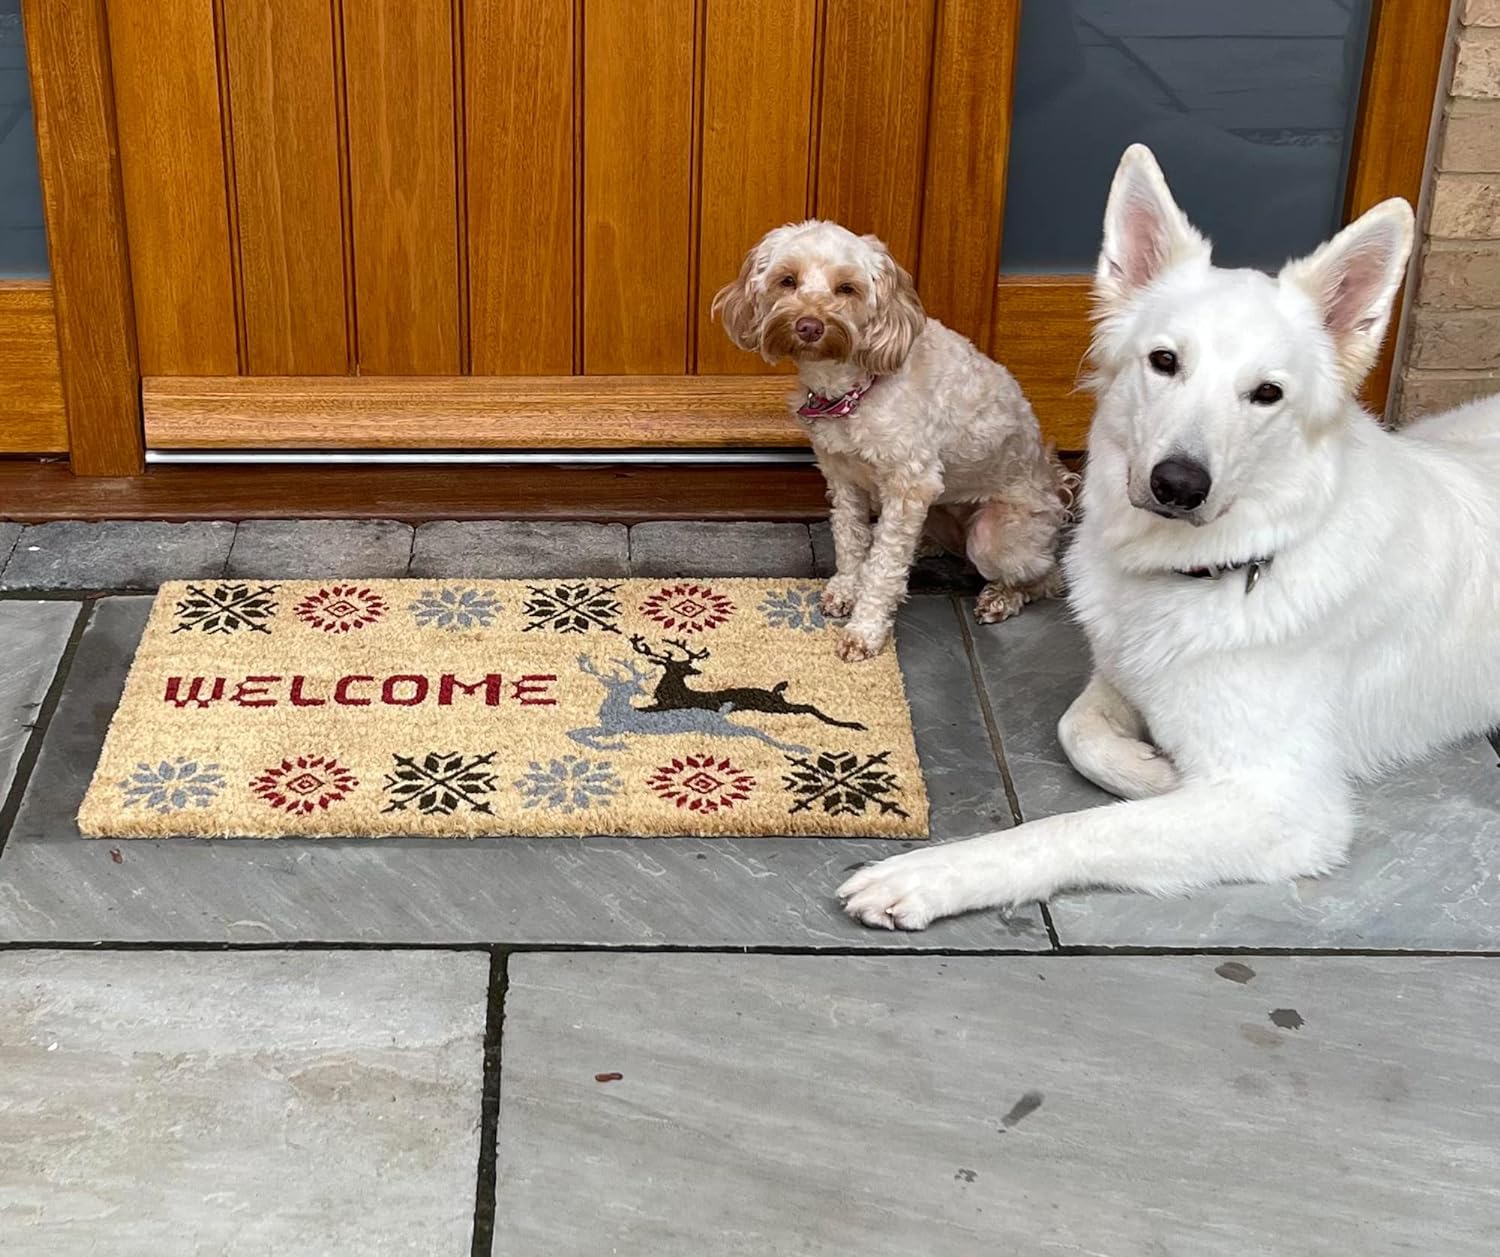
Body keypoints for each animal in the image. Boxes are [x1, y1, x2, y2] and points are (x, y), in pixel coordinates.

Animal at [567, 654, 812, 753]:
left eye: (631, 686)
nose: (642, 691)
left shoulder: (616, 727)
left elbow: (579, 734)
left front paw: (615, 746)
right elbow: (575, 733)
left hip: (723, 727)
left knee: (754, 731)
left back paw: (799, 748)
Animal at [628, 636, 867, 731]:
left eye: (685, 665)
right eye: (678, 666)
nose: (696, 670)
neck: (673, 689)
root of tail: (773, 692)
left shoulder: (671, 705)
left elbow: (643, 710)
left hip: (774, 707)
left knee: (808, 707)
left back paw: (854, 725)